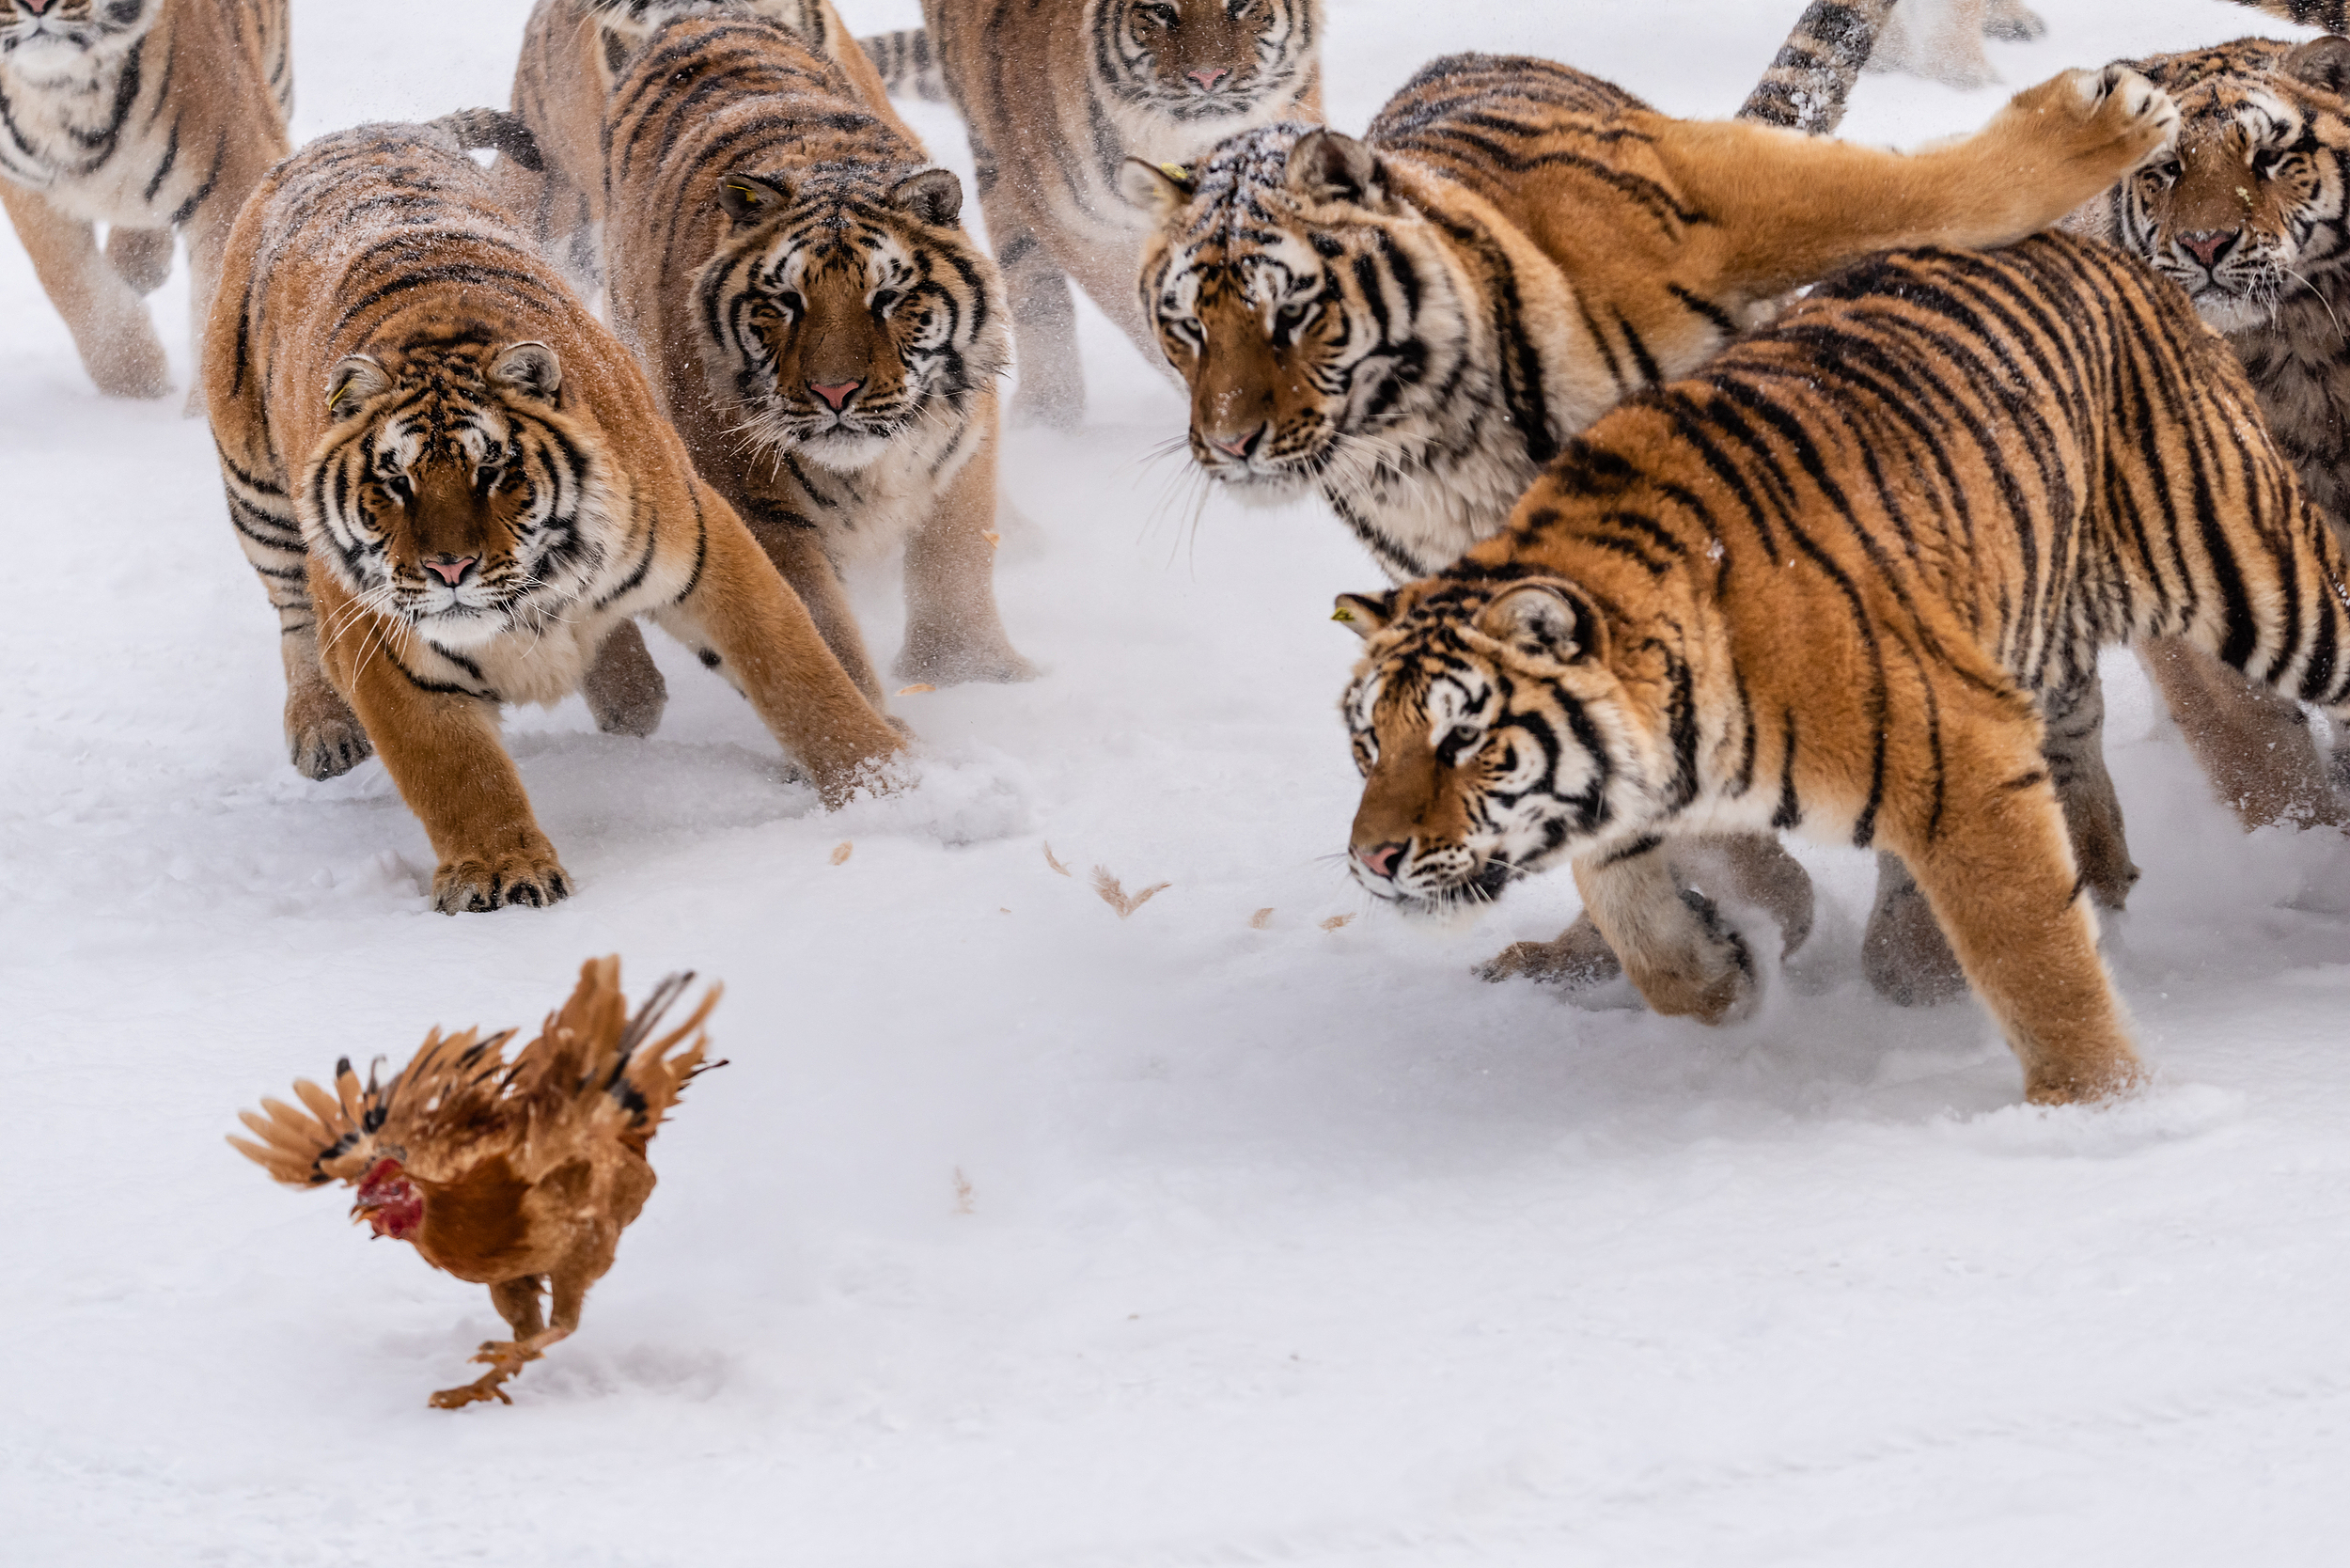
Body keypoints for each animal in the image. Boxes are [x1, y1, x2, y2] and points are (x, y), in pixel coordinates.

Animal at [0, 0, 290, 405]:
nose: (38, 6)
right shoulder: (28, 186)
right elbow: (70, 280)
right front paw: (136, 383)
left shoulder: (235, 175)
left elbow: (222, 308)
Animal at [202, 112, 905, 914]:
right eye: (396, 482)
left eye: (491, 472)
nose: (449, 568)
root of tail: (366, 129)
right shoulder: (379, 642)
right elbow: (454, 770)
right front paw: (502, 873)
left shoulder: (711, 557)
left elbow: (799, 676)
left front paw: (885, 781)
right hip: (255, 492)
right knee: (293, 612)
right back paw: (323, 730)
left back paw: (626, 691)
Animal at [593, 10, 1029, 703]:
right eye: (787, 301)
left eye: (887, 298)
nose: (835, 393)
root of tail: (699, 14)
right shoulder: (755, 505)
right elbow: (811, 618)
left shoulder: (964, 441)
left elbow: (956, 555)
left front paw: (971, 672)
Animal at [1333, 234, 2350, 1106]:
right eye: (1366, 747)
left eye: (1464, 741)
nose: (1372, 860)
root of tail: (2106, 248)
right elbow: (1641, 911)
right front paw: (1726, 973)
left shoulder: (1969, 774)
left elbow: (2032, 955)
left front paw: (2101, 1108)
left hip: (2262, 581)